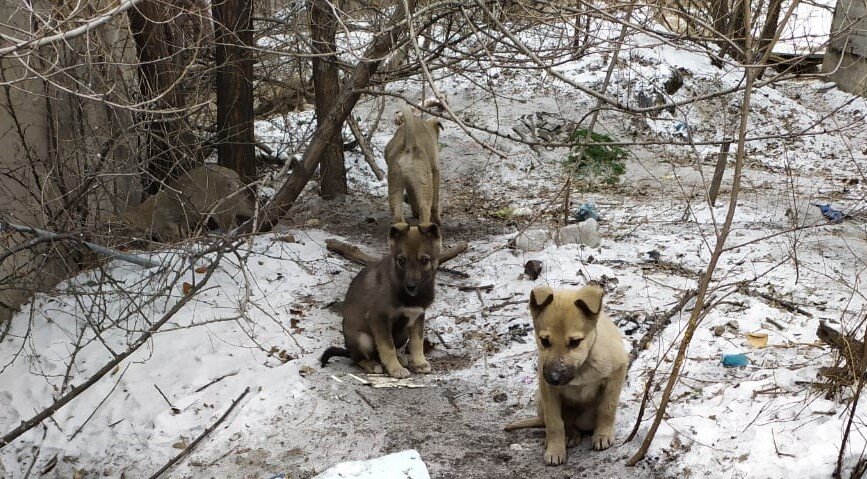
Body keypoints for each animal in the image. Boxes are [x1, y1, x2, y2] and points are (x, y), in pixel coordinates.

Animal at [318, 224, 440, 378]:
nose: (411, 286)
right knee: (357, 358)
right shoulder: (379, 317)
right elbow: (388, 347)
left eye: (424, 260)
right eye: (401, 260)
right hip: (362, 338)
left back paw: (398, 359)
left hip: (402, 334)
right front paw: (395, 369)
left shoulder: (417, 315)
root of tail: (348, 349)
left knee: (378, 353)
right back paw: (372, 365)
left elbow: (417, 343)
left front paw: (420, 363)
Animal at [506, 286, 628, 466]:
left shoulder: (617, 371)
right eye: (544, 341)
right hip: (540, 398)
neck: (582, 366)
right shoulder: (547, 389)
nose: (554, 378)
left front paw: (603, 435)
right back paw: (568, 435)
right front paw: (555, 450)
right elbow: (554, 423)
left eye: (575, 342)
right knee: (562, 422)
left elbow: (607, 408)